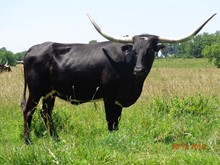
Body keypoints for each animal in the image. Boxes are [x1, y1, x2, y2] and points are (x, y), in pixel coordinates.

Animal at [21, 13, 216, 144]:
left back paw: (56, 139)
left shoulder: (119, 100)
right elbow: (111, 121)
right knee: (28, 111)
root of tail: (34, 48)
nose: (139, 69)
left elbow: (117, 121)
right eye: (134, 50)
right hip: (35, 90)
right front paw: (112, 140)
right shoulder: (109, 97)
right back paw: (28, 141)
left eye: (150, 50)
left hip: (50, 93)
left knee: (46, 113)